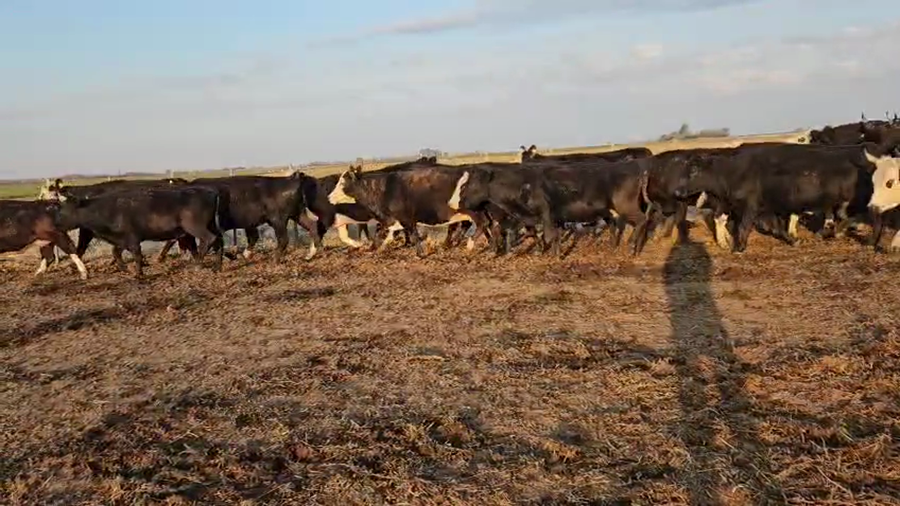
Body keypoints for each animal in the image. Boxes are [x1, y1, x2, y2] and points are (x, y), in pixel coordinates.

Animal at [55, 186, 224, 279]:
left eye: (64, 210)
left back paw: (198, 264)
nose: (55, 225)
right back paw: (217, 266)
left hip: (195, 226)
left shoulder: (132, 238)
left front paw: (138, 273)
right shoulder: (121, 239)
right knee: (219, 240)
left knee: (209, 239)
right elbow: (115, 252)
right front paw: (125, 269)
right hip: (210, 225)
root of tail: (211, 192)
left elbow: (136, 254)